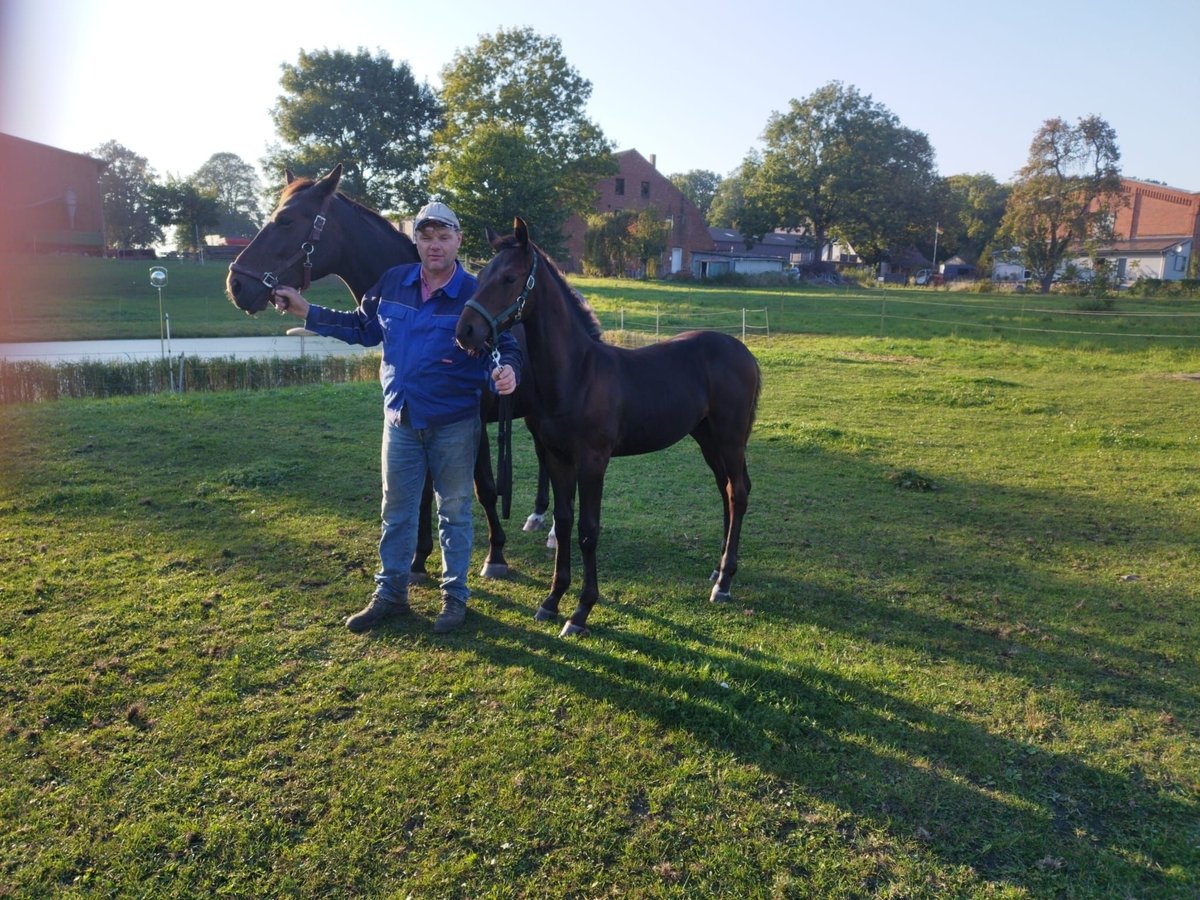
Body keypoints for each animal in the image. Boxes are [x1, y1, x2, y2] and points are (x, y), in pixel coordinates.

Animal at [456, 220, 758, 638]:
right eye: (481, 274)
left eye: (509, 278)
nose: (465, 331)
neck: (577, 374)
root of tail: (744, 353)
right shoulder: (558, 458)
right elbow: (564, 521)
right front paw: (552, 600)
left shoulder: (593, 462)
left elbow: (588, 530)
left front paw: (580, 612)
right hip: (707, 439)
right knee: (727, 491)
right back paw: (718, 570)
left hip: (729, 439)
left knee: (738, 493)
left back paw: (724, 582)